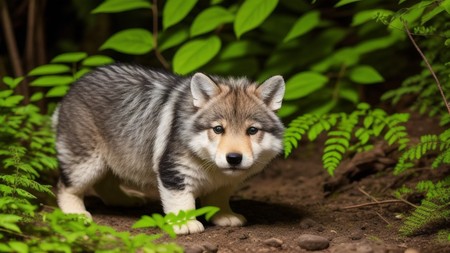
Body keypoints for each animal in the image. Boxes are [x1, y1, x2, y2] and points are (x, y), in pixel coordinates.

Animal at [53, 64, 284, 234]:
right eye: (218, 129)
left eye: (252, 130)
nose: (234, 158)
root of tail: (72, 88)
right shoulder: (174, 173)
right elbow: (182, 203)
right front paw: (185, 224)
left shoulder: (225, 183)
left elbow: (218, 199)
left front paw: (224, 215)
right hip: (86, 163)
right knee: (66, 187)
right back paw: (75, 213)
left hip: (114, 157)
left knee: (104, 183)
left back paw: (125, 200)